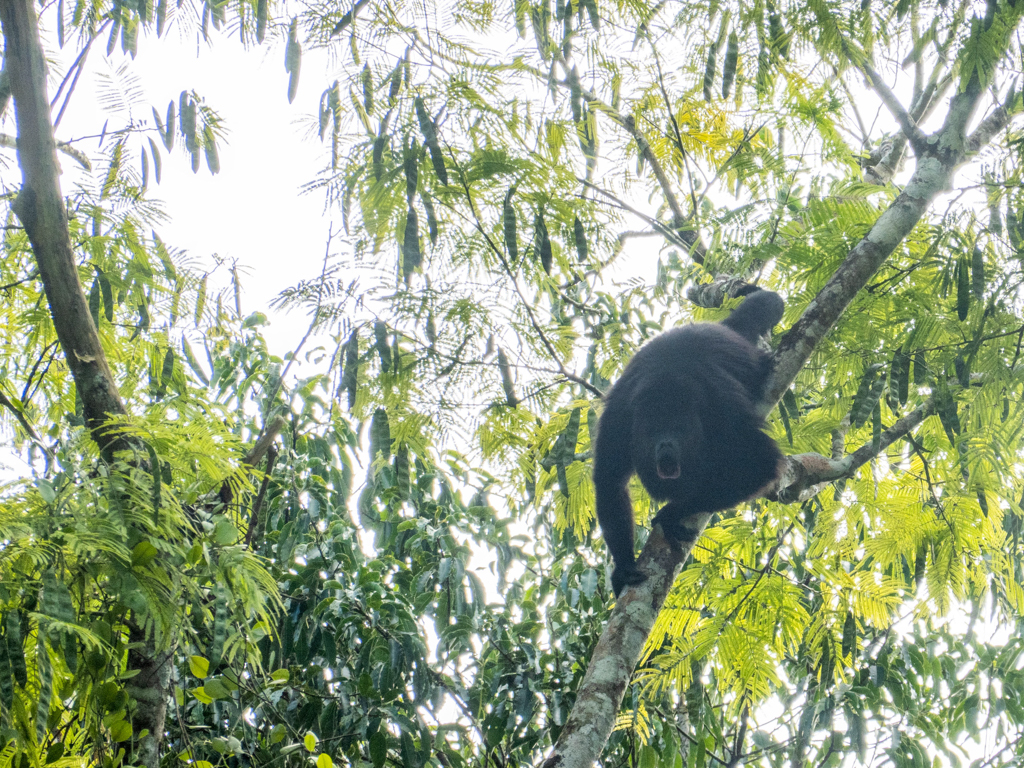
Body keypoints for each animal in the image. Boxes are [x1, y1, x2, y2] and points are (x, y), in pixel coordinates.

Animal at [593, 290, 782, 598]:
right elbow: (609, 481)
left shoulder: (719, 404)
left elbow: (761, 463)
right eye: (652, 431)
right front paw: (624, 567)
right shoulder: (619, 418)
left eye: (679, 429)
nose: (666, 445)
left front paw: (673, 512)